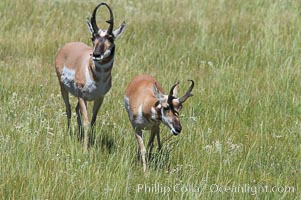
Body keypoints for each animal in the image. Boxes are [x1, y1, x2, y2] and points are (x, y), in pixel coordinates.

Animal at [55, 2, 125, 151]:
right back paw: (70, 134)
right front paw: (85, 149)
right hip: (63, 89)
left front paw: (91, 143)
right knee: (68, 109)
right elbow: (87, 122)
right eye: (93, 37)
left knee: (76, 110)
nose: (96, 54)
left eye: (110, 38)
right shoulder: (83, 97)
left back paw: (79, 135)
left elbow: (93, 121)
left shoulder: (99, 98)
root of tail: (67, 46)